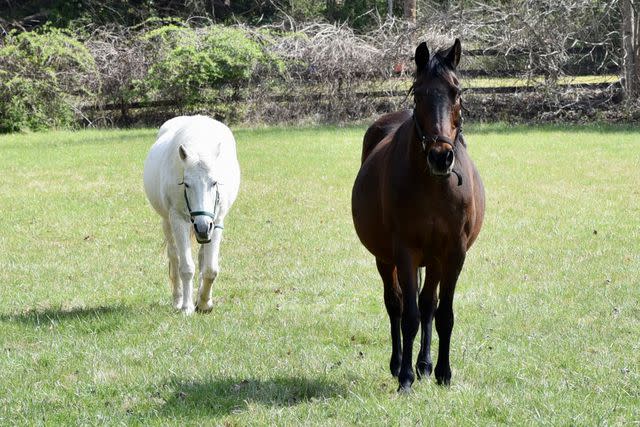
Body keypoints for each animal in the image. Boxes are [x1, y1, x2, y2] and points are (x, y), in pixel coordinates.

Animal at [144, 115, 241, 316]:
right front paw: (187, 307)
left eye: (214, 182)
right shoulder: (178, 220)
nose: (202, 226)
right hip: (167, 222)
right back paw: (178, 299)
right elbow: (186, 267)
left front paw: (204, 303)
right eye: (186, 184)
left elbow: (210, 268)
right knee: (174, 257)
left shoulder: (216, 222)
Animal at [350, 40, 484, 392]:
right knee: (396, 304)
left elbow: (442, 314)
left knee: (428, 306)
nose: (440, 156)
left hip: (434, 260)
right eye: (418, 94)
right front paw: (406, 379)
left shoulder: (453, 253)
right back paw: (400, 364)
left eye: (456, 91)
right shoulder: (405, 252)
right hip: (385, 259)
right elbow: (408, 315)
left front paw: (443, 372)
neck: (433, 185)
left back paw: (424, 364)